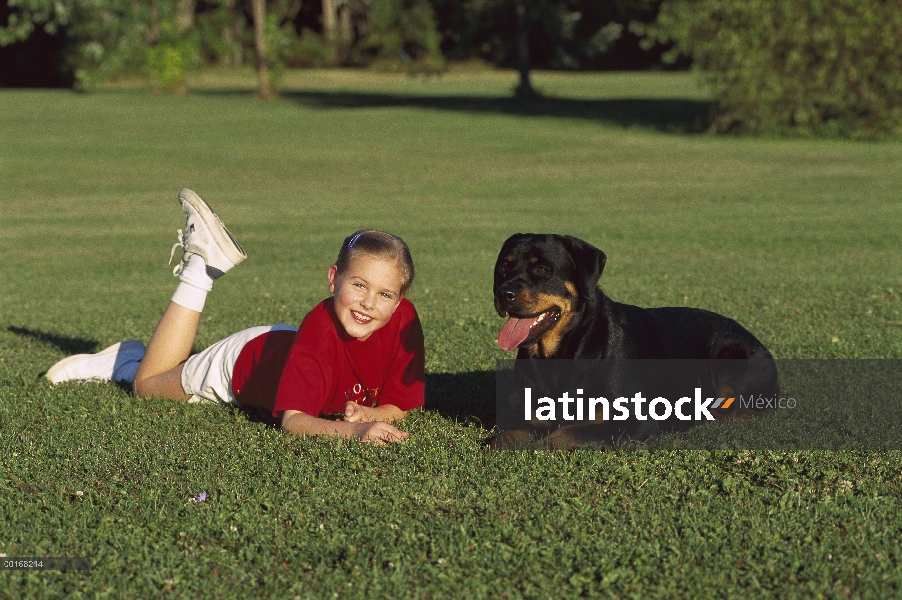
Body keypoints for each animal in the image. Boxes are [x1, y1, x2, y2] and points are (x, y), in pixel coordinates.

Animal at [490, 234, 780, 450]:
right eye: (503, 267)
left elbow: (564, 434)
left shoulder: (637, 423)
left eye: (542, 269)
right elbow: (504, 437)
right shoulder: (533, 418)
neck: (558, 356)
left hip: (733, 362)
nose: (504, 293)